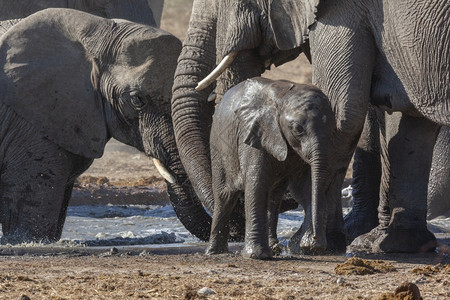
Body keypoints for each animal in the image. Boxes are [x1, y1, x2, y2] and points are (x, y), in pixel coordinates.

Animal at [206, 78, 336, 260]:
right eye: (298, 129)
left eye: (333, 129)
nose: (317, 239)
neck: (283, 97)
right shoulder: (253, 134)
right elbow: (256, 182)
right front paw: (256, 255)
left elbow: (306, 186)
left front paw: (308, 246)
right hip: (219, 146)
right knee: (225, 197)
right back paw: (214, 252)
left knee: (274, 196)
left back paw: (275, 249)